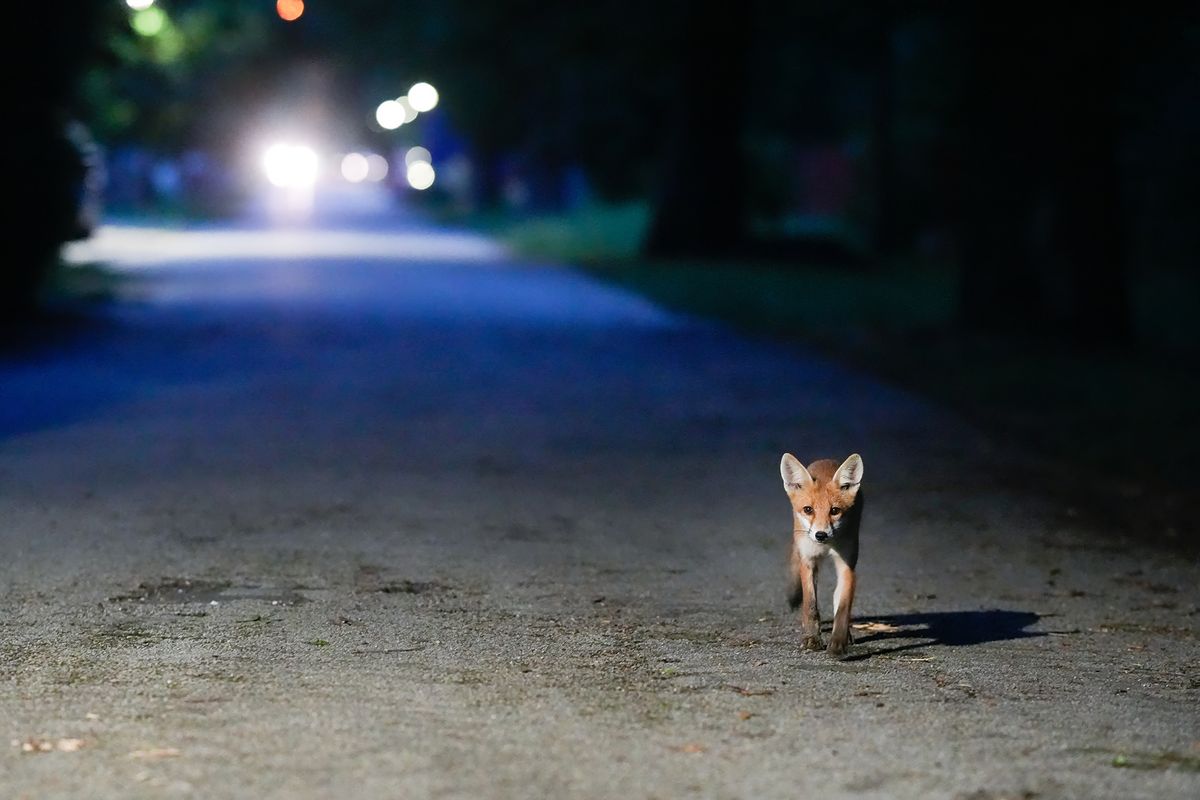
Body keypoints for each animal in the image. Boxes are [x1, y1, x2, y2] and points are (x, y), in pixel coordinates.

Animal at [777, 453, 864, 662]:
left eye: (835, 511)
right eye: (808, 509)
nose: (821, 535)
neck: (826, 547)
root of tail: (827, 460)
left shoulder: (847, 565)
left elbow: (842, 609)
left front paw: (838, 644)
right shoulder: (808, 561)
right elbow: (810, 606)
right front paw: (811, 638)